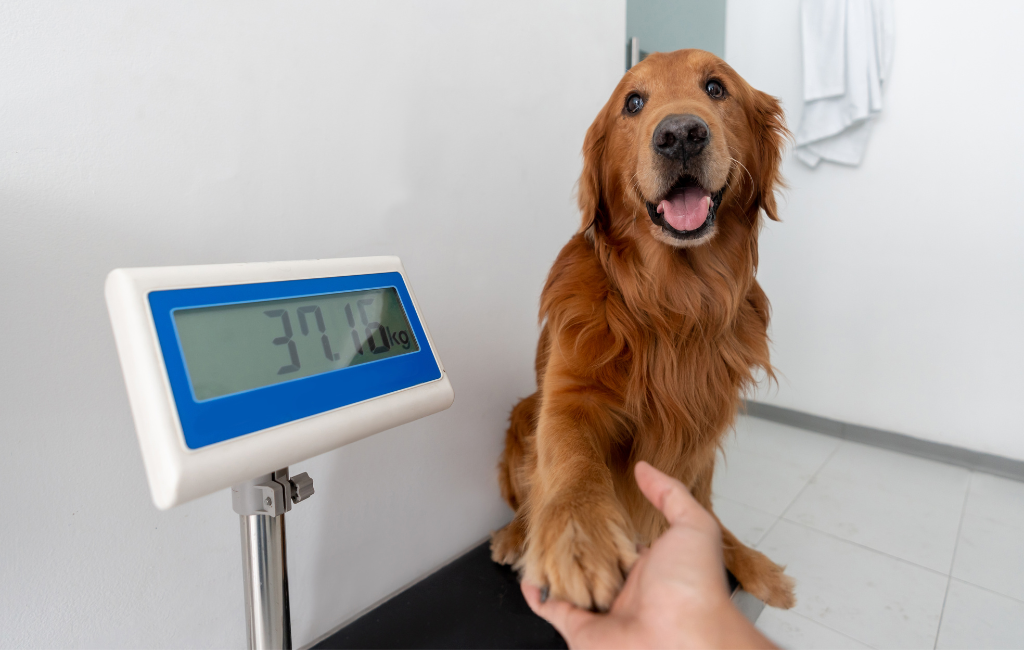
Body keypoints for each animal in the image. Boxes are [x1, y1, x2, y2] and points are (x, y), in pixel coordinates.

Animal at [491, 49, 794, 610]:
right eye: (633, 102)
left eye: (716, 88)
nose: (680, 134)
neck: (672, 303)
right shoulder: (569, 395)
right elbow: (570, 461)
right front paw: (580, 537)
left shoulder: (701, 424)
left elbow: (695, 505)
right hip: (523, 412)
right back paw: (514, 536)